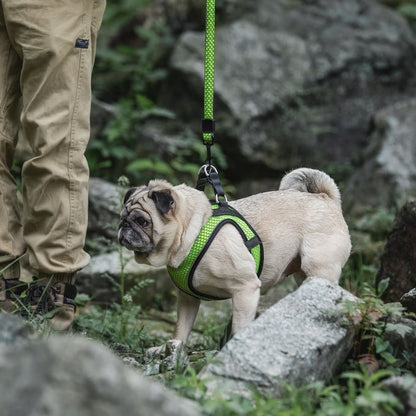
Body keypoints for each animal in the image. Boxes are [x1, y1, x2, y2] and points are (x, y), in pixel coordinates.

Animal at [118, 169, 352, 348]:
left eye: (142, 221)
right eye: (121, 217)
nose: (124, 225)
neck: (194, 231)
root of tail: (324, 198)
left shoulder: (245, 289)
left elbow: (240, 327)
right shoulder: (187, 299)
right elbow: (181, 327)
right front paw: (173, 349)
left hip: (319, 268)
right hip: (303, 275)